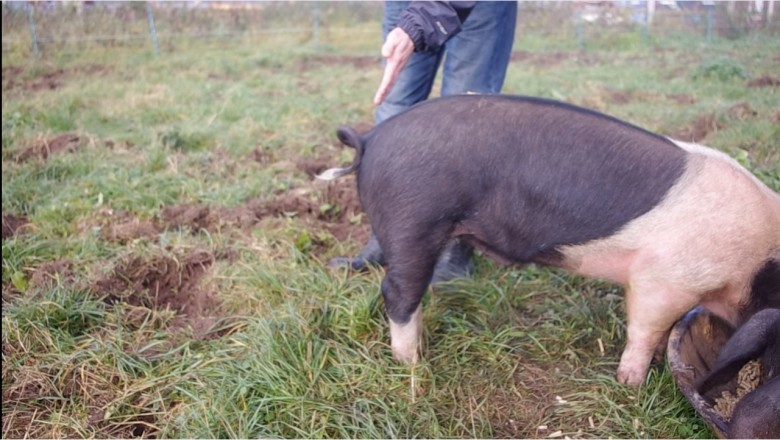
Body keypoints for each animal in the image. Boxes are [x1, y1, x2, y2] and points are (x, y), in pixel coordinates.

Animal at [318, 93, 780, 384]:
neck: (754, 265)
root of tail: (370, 139)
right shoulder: (667, 278)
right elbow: (645, 330)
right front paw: (631, 384)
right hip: (414, 220)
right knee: (398, 292)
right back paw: (413, 365)